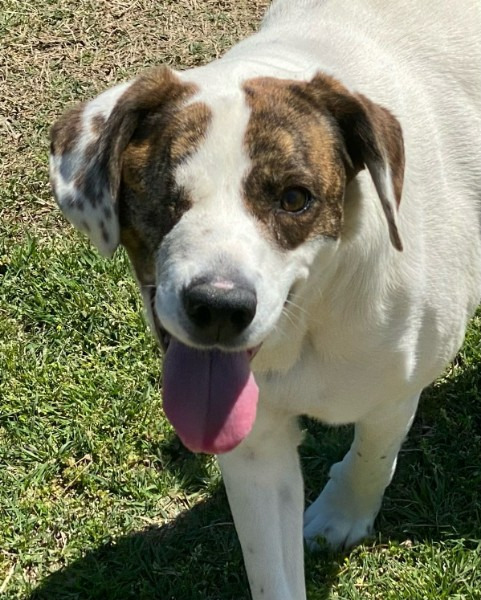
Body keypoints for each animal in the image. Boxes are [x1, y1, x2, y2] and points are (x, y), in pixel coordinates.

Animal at [48, 1, 480, 596]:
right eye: (163, 193)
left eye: (294, 199)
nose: (218, 308)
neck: (309, 322)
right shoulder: (254, 448)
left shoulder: (395, 394)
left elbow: (374, 455)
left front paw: (343, 513)